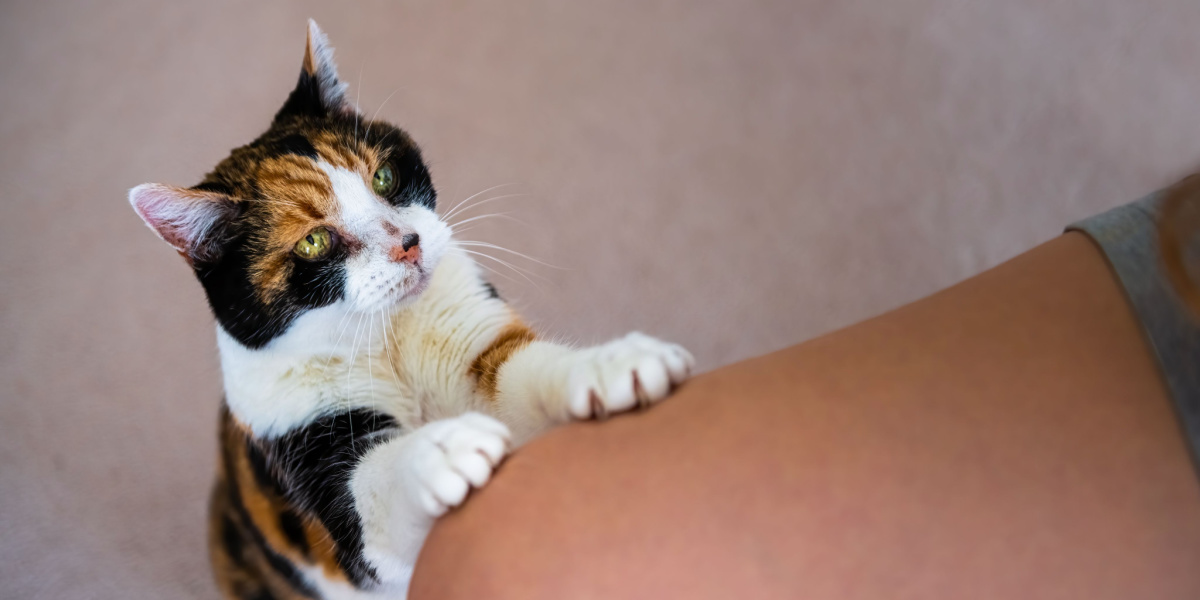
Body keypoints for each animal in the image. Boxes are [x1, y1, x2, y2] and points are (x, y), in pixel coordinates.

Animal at [129, 18, 696, 600]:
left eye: (384, 177)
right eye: (313, 242)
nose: (409, 244)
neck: (387, 340)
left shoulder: (477, 339)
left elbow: (532, 371)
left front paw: (614, 365)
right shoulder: (308, 448)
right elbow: (374, 486)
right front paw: (445, 449)